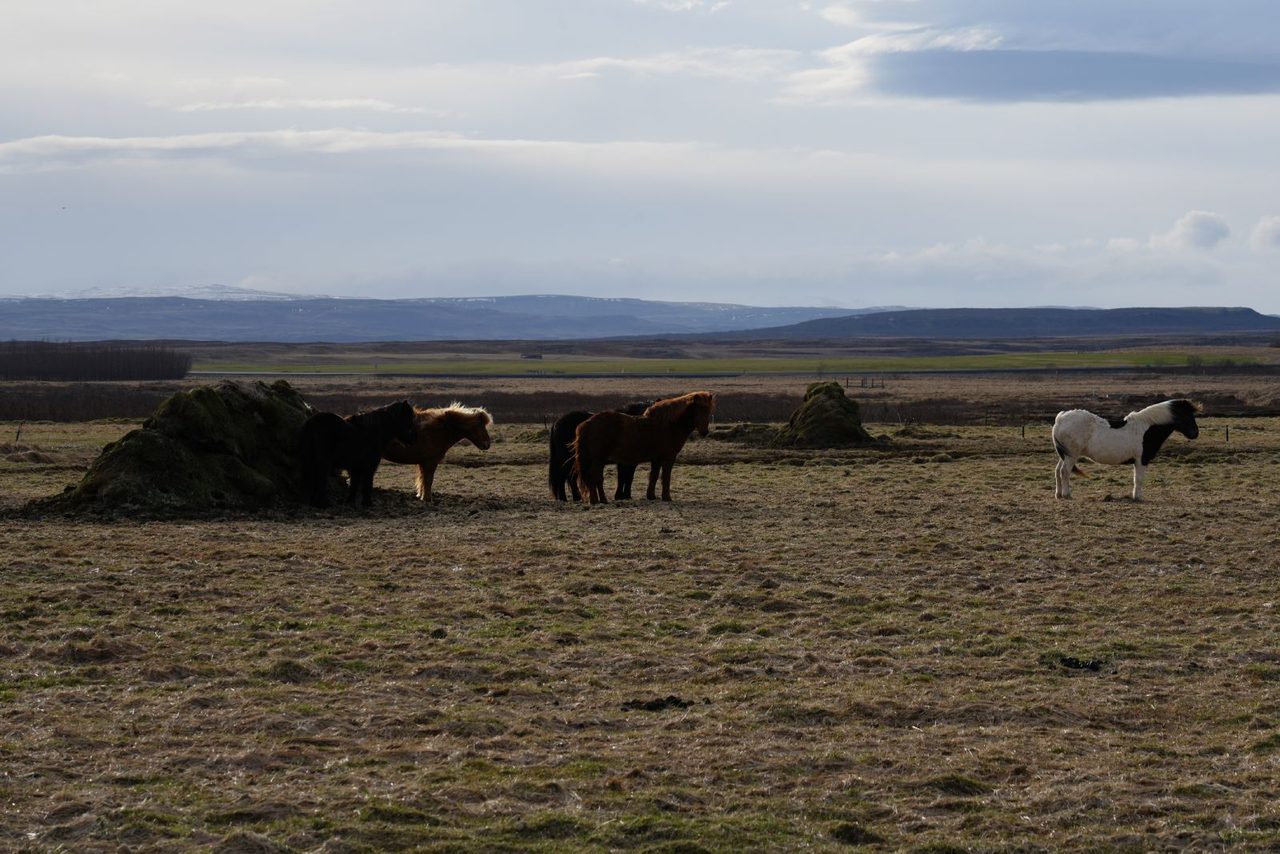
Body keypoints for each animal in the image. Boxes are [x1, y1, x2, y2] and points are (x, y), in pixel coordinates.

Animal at [572, 391, 715, 505]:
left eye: (708, 410)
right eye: (699, 409)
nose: (704, 432)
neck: (669, 425)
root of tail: (586, 424)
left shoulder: (657, 459)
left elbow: (654, 476)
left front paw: (651, 496)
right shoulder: (668, 458)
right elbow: (666, 477)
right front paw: (667, 497)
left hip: (599, 461)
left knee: (597, 478)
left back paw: (601, 500)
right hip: (598, 459)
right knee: (594, 477)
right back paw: (596, 500)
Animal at [1052, 399, 1200, 501]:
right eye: (1186, 415)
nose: (1195, 433)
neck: (1147, 428)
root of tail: (1060, 419)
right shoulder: (1141, 460)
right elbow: (1139, 479)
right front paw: (1138, 497)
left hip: (1064, 455)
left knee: (1058, 470)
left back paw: (1058, 494)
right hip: (1071, 456)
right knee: (1065, 472)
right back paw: (1067, 494)